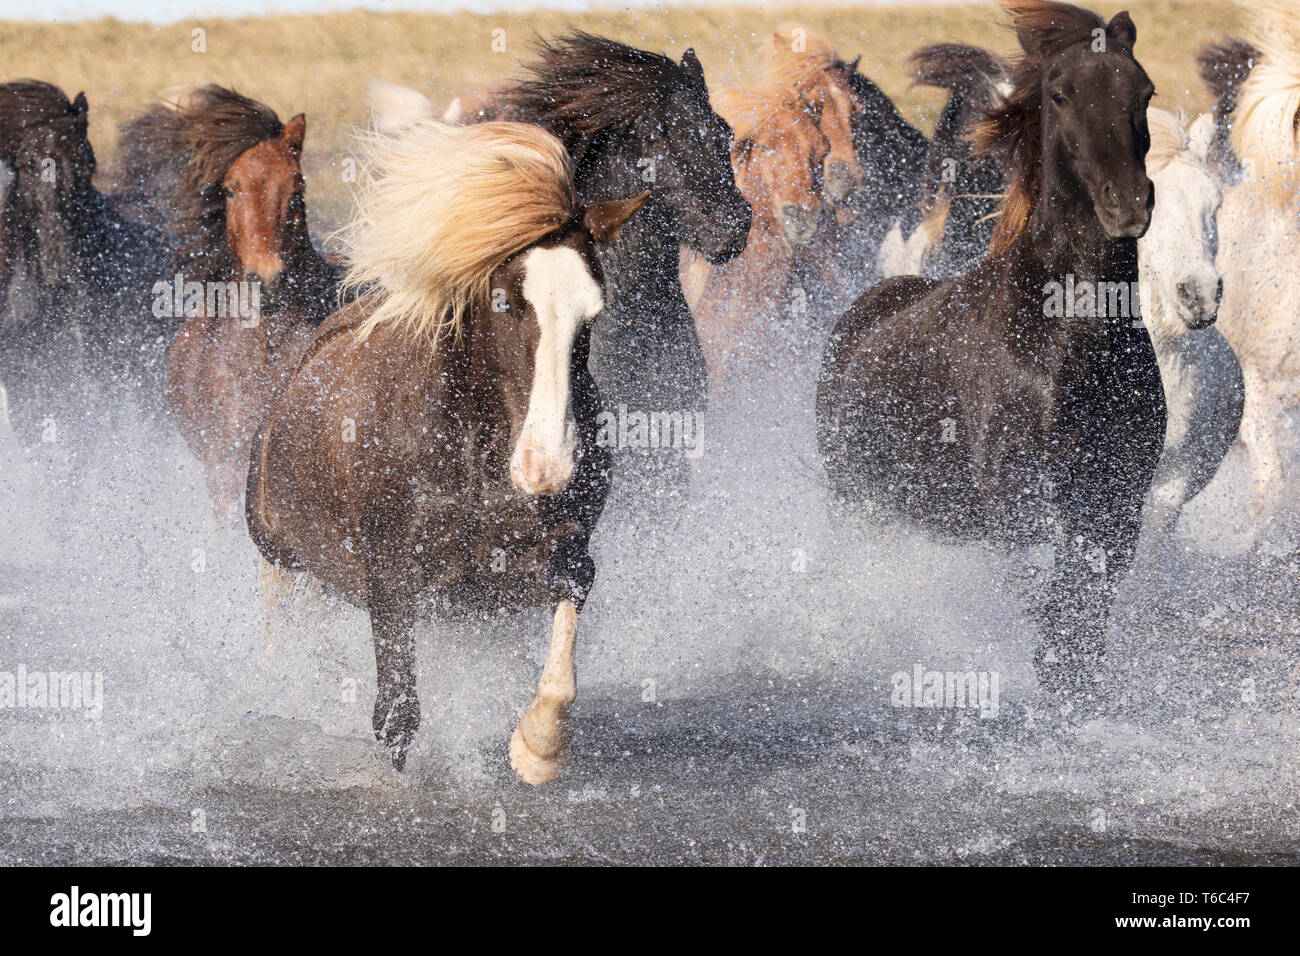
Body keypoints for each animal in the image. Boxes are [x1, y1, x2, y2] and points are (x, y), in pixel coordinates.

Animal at [244, 117, 650, 785]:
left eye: (593, 312)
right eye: (506, 301)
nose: (547, 467)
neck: (470, 454)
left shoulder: (544, 563)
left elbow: (561, 654)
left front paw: (538, 747)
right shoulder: (390, 579)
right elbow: (396, 717)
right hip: (285, 561)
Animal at [816, 0, 1164, 686]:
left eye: (1144, 92)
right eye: (1060, 94)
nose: (1128, 205)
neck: (1070, 344)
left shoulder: (1116, 503)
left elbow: (1080, 616)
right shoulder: (1015, 505)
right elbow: (1050, 606)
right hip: (857, 504)